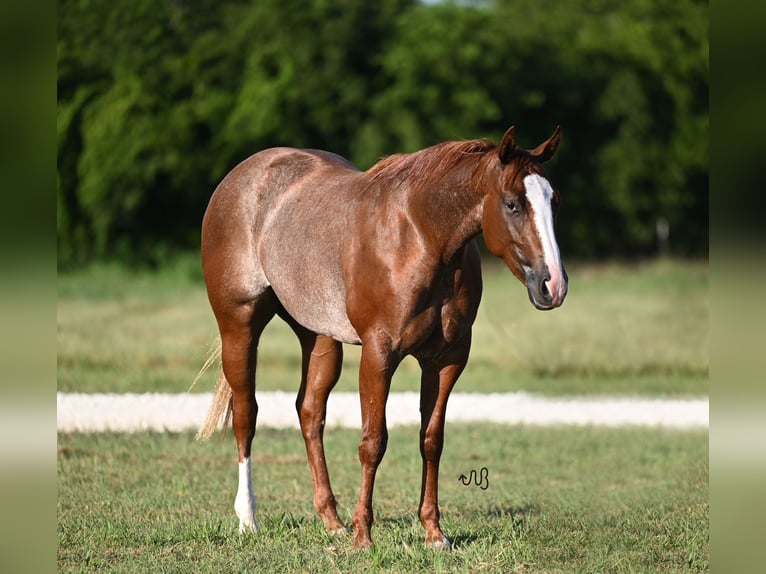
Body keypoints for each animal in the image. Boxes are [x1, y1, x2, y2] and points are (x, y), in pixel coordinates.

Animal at [198, 125, 568, 548]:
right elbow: (373, 442)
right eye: (512, 204)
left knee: (310, 413)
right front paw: (363, 535)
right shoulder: (379, 353)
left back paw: (331, 520)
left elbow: (431, 440)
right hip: (239, 326)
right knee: (246, 414)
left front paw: (433, 532)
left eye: (554, 201)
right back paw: (248, 518)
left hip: (319, 337)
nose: (553, 285)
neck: (422, 236)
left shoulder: (447, 359)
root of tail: (240, 177)